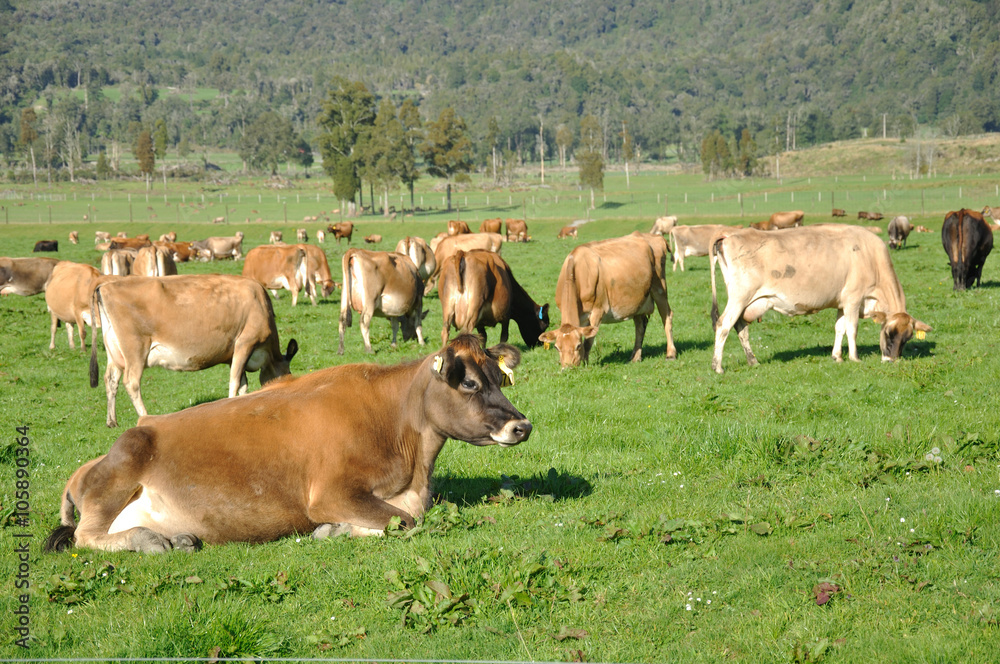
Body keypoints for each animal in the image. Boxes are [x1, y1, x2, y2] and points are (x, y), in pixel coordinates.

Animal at [48, 334, 532, 552]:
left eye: (499, 377)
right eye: (468, 383)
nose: (522, 426)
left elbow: (405, 518)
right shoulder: (330, 493)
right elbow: (402, 521)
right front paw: (333, 530)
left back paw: (175, 537)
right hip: (123, 464)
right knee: (86, 538)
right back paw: (150, 540)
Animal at [89, 274, 296, 426]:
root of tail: (105, 285)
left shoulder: (234, 354)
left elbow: (243, 383)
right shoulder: (245, 342)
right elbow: (235, 382)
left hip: (114, 352)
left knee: (111, 380)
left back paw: (112, 422)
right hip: (135, 348)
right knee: (131, 382)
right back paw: (144, 416)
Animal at [544, 231, 676, 368]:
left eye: (578, 346)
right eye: (556, 347)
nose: (568, 368)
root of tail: (655, 236)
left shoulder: (598, 310)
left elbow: (589, 341)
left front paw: (585, 363)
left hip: (659, 287)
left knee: (666, 316)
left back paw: (670, 354)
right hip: (638, 300)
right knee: (640, 325)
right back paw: (635, 357)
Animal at [712, 224, 928, 374]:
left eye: (907, 338)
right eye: (889, 333)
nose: (891, 360)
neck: (871, 257)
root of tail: (729, 234)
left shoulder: (841, 303)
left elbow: (839, 328)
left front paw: (837, 356)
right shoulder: (853, 299)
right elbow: (852, 329)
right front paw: (854, 358)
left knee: (740, 327)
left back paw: (752, 361)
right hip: (739, 297)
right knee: (723, 325)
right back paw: (718, 366)